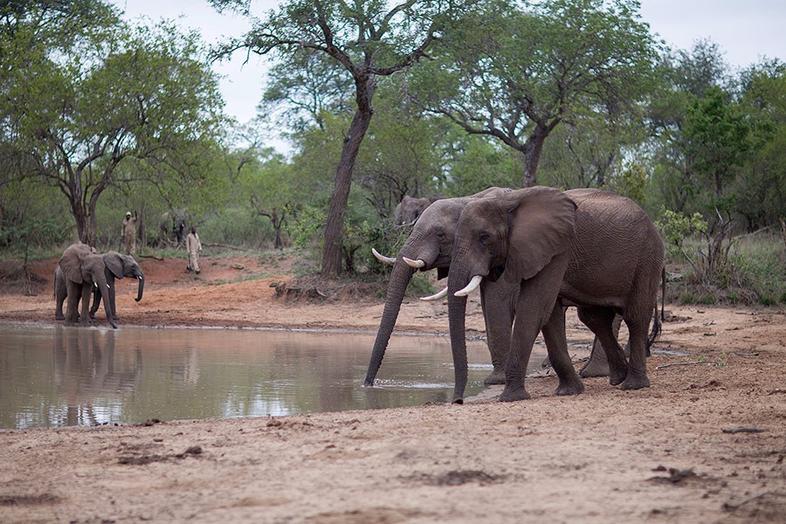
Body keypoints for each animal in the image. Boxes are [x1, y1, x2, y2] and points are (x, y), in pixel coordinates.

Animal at [448, 186, 660, 404]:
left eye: (484, 237)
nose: (458, 401)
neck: (508, 200)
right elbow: (549, 316)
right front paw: (569, 392)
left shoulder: (558, 249)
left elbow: (534, 309)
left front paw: (510, 398)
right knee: (594, 318)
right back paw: (618, 377)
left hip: (647, 258)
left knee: (635, 317)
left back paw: (633, 385)